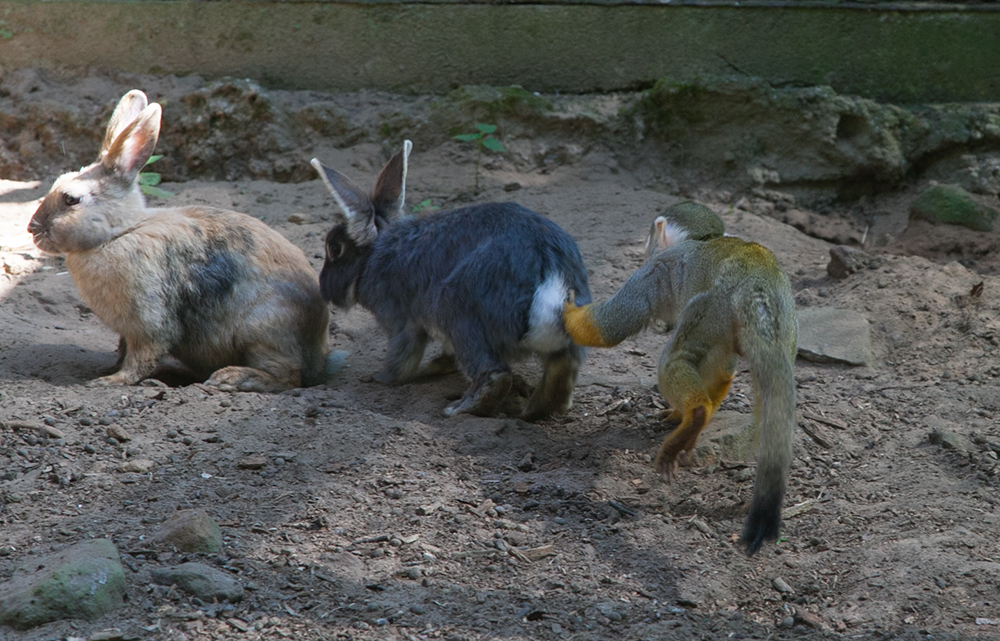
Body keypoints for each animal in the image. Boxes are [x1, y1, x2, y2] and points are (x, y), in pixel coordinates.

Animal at [26, 89, 344, 390]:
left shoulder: (148, 323)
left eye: (71, 199)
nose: (32, 229)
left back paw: (231, 378)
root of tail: (318, 352)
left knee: (287, 377)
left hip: (263, 330)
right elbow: (124, 350)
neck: (119, 234)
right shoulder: (128, 332)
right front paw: (108, 370)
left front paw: (112, 381)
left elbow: (141, 357)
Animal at [316, 141, 588, 420]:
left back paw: (461, 408)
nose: (323, 286)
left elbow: (402, 357)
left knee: (495, 374)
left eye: (335, 248)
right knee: (562, 368)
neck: (375, 254)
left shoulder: (400, 319)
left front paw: (381, 378)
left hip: (457, 310)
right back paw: (534, 410)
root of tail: (550, 273)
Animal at [564, 201, 796, 556]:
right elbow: (721, 368)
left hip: (712, 306)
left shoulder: (658, 268)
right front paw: (679, 413)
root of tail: (759, 285)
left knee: (672, 357)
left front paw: (564, 310)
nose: (646, 248)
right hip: (784, 322)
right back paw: (701, 419)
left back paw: (696, 413)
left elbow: (610, 326)